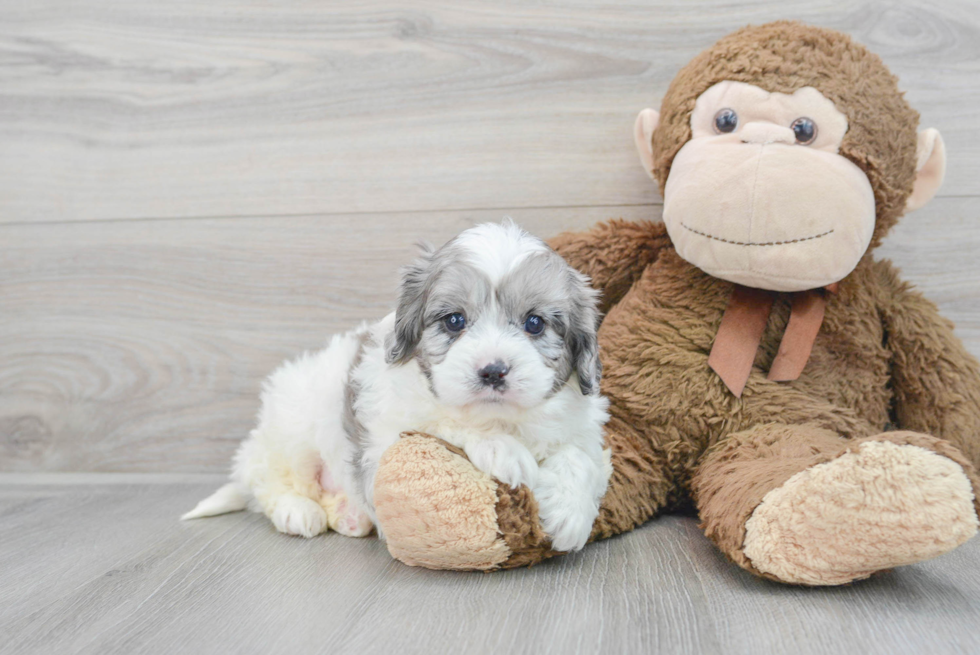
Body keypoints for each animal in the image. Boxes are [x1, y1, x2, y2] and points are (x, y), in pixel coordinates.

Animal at [183, 222, 608, 552]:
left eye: (534, 323)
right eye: (454, 320)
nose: (492, 371)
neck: (504, 418)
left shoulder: (582, 426)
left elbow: (581, 457)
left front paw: (570, 513)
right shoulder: (389, 433)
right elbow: (444, 422)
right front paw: (501, 449)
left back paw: (350, 515)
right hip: (293, 430)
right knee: (269, 483)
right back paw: (297, 511)